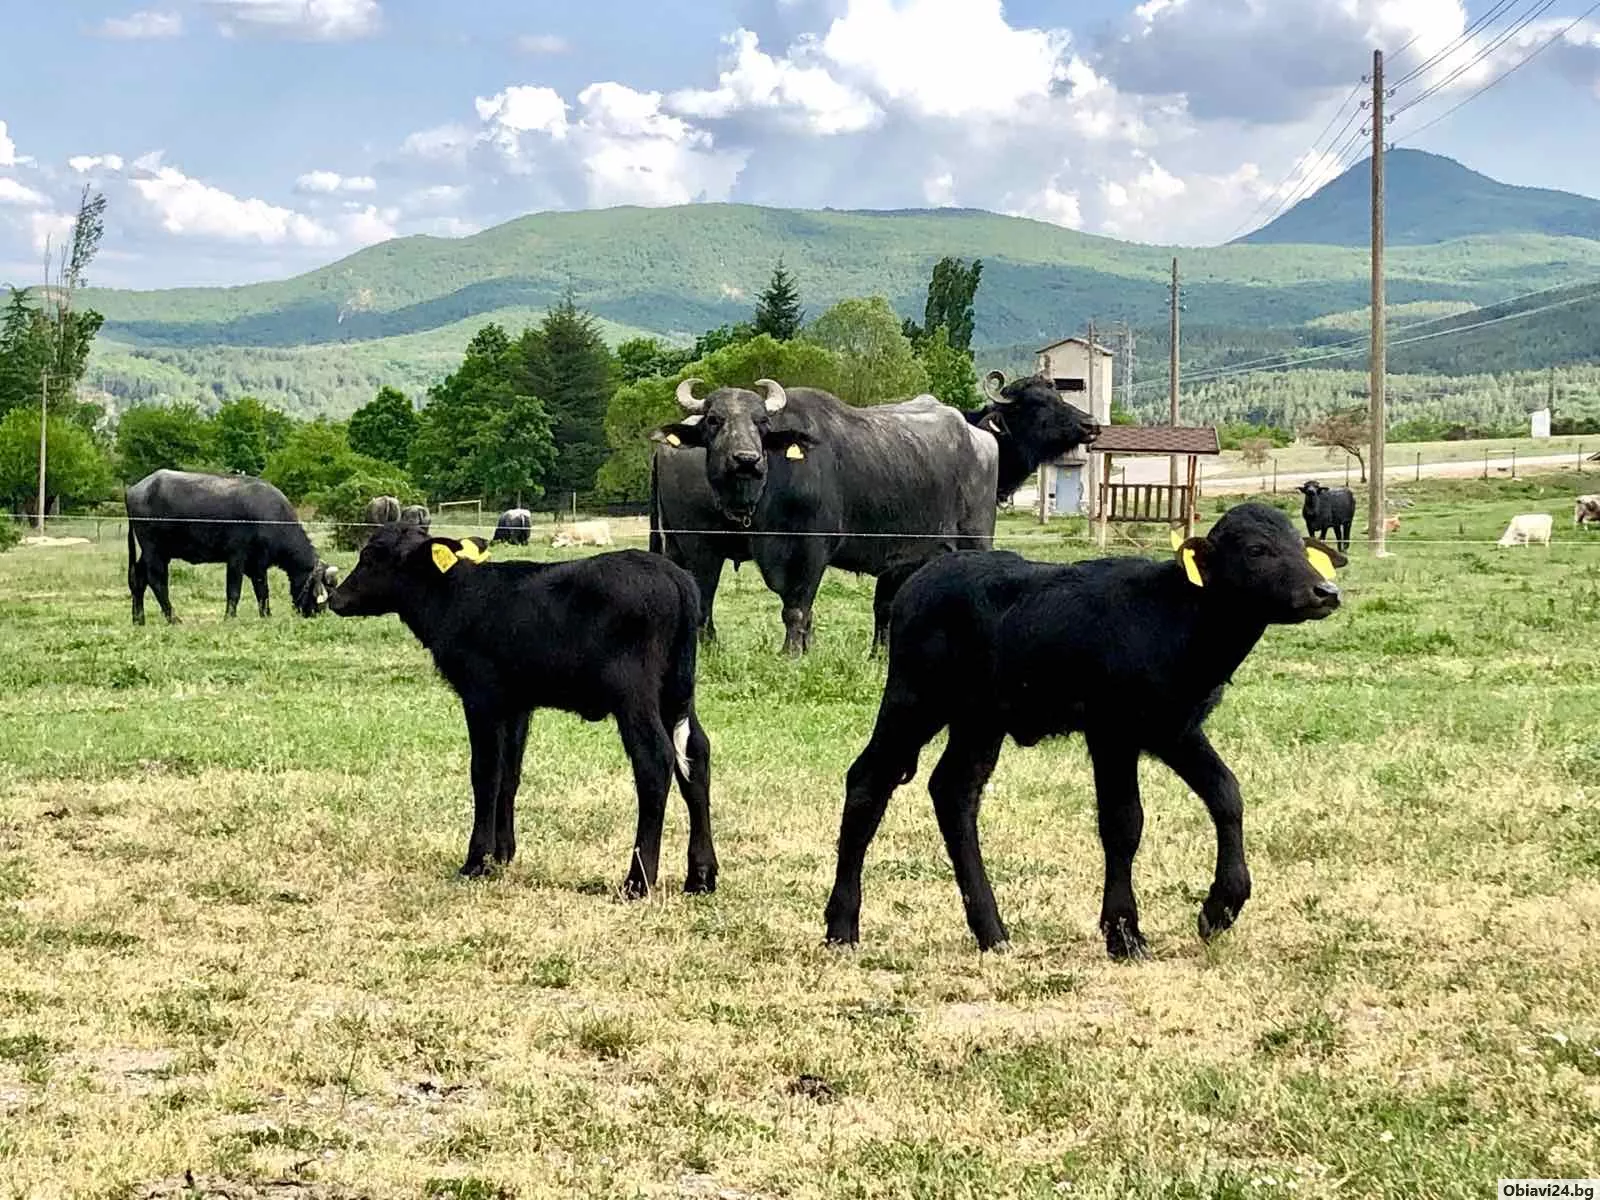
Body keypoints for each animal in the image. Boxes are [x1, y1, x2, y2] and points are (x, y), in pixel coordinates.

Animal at [127, 464, 337, 624]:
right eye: (323, 589)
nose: (316, 614)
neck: (270, 517)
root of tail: (133, 490)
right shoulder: (237, 558)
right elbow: (234, 590)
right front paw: (230, 617)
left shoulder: (258, 564)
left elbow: (262, 590)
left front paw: (266, 615)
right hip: (154, 550)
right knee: (156, 580)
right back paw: (173, 618)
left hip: (153, 552)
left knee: (138, 578)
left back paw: (139, 619)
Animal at [328, 521, 716, 896]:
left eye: (372, 556)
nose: (334, 598)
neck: (455, 598)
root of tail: (675, 577)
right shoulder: (516, 703)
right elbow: (509, 773)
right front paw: (502, 854)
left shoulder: (481, 696)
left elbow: (485, 773)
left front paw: (476, 861)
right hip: (676, 691)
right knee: (696, 756)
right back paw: (701, 877)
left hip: (634, 692)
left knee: (654, 760)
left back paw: (637, 881)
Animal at [649, 376, 1100, 659]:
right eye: (714, 421)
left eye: (761, 423)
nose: (745, 459)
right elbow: (787, 608)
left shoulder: (821, 551)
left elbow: (808, 609)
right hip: (688, 547)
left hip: (974, 537)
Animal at [825, 502, 1350, 966]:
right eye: (1258, 549)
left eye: (1302, 546)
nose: (1326, 591)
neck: (1176, 617)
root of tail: (924, 575)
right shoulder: (1112, 730)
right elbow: (1123, 823)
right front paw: (1124, 934)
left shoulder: (1175, 728)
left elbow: (1227, 794)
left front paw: (1221, 908)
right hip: (913, 699)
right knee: (868, 781)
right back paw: (841, 927)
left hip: (980, 720)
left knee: (954, 792)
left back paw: (991, 932)